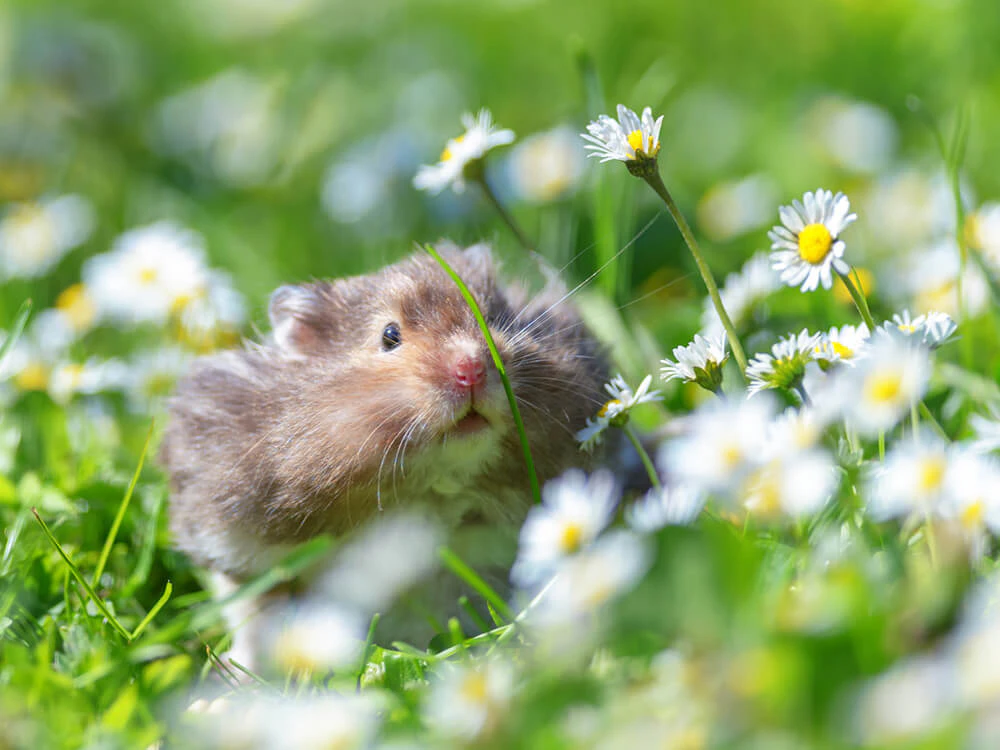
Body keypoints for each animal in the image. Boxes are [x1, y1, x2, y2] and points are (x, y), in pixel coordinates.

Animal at [160, 245, 608, 652]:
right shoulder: (239, 547)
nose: (472, 369)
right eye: (390, 336)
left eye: (496, 318)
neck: (428, 485)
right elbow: (254, 619)